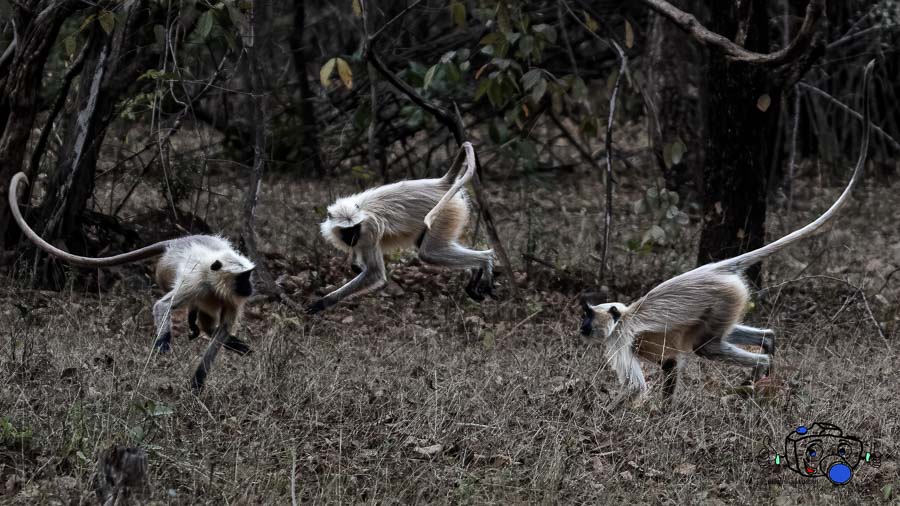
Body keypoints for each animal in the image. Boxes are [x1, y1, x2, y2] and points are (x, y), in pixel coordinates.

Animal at [9, 173, 256, 392]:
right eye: (243, 278)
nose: (250, 287)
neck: (216, 282)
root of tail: (177, 242)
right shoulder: (198, 283)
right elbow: (162, 306)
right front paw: (164, 343)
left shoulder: (233, 300)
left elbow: (222, 331)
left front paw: (198, 379)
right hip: (165, 271)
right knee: (198, 314)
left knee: (208, 323)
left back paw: (201, 325)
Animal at [308, 138, 492, 312]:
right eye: (347, 231)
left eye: (355, 229)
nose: (352, 237)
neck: (362, 211)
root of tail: (441, 183)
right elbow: (356, 262)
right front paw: (356, 265)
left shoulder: (369, 231)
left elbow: (374, 274)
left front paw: (325, 301)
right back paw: (475, 270)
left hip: (444, 212)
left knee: (429, 253)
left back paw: (484, 261)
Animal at [580, 59, 876, 402]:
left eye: (588, 316)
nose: (581, 326)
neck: (625, 316)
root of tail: (715, 268)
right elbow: (669, 363)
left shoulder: (619, 339)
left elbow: (635, 387)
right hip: (726, 302)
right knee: (734, 337)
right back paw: (767, 350)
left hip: (721, 299)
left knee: (707, 346)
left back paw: (759, 371)